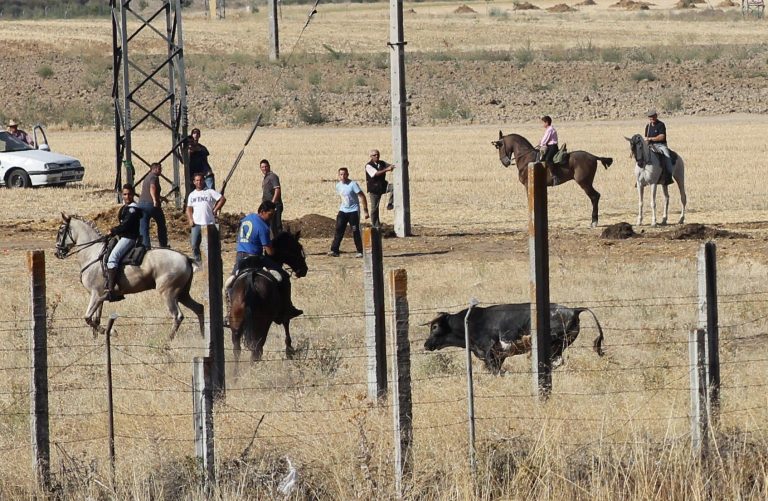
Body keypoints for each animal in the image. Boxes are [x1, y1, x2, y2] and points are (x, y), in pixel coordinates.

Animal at [54, 213, 204, 338]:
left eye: (61, 230)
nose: (57, 253)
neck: (93, 253)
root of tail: (185, 258)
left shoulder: (95, 294)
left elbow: (87, 318)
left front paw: (112, 332)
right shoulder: (99, 296)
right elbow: (95, 320)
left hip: (169, 293)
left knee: (177, 316)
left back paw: (169, 340)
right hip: (183, 294)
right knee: (199, 308)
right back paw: (203, 337)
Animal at [228, 229, 308, 366]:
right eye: (298, 247)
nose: (304, 269)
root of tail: (250, 277)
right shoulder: (284, 314)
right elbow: (286, 325)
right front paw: (289, 351)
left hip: (237, 324)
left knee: (237, 350)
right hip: (263, 323)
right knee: (257, 349)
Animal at [424, 302, 604, 374]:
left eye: (435, 327)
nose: (426, 344)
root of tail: (574, 310)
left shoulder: (489, 352)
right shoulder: (498, 356)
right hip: (560, 345)